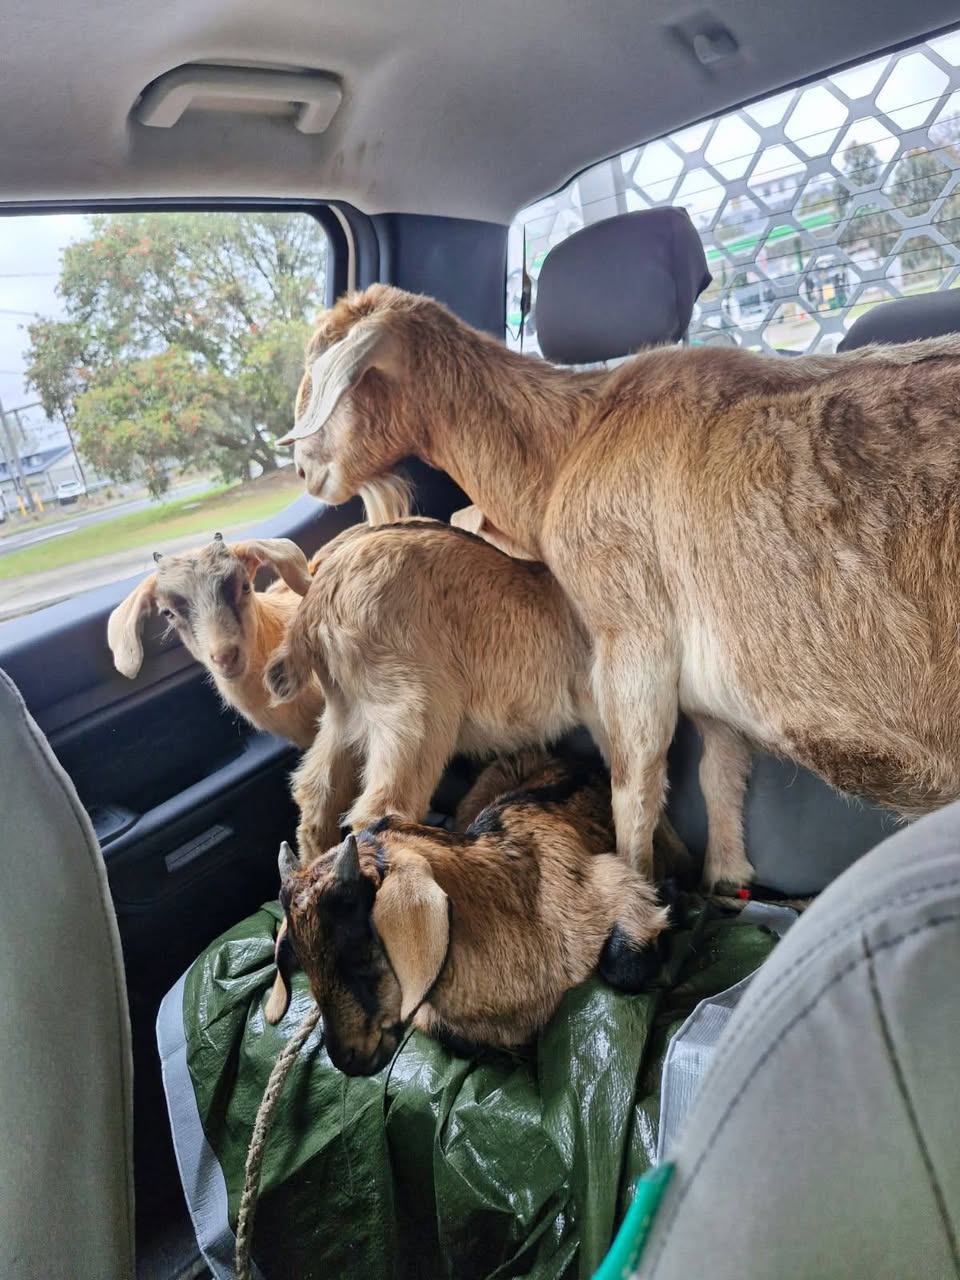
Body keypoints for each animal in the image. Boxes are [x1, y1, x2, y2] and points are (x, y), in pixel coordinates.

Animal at [274, 754, 670, 1073]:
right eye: (302, 961)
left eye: (359, 953)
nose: (347, 1059)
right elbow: (454, 1036)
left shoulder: (613, 885)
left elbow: (624, 966)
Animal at [280, 283, 960, 885]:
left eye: (330, 367)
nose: (303, 471)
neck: (572, 438)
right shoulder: (705, 690)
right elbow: (719, 772)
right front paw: (723, 875)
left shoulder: (632, 635)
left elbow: (633, 788)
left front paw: (642, 897)